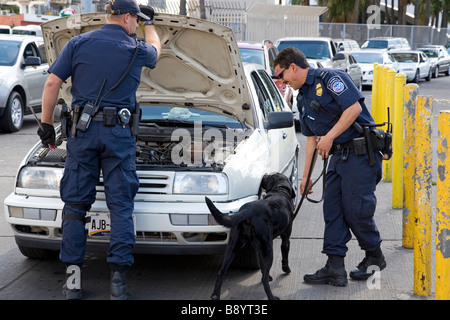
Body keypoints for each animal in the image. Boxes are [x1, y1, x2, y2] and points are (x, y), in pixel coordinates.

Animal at [204, 172, 296, 300]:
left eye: (269, 176)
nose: (265, 174)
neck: (280, 190)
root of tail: (248, 211)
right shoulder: (285, 238)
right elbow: (284, 256)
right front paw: (286, 269)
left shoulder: (257, 247)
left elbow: (262, 266)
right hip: (268, 249)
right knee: (264, 280)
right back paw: (272, 297)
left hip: (233, 246)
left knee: (221, 272)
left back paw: (215, 295)